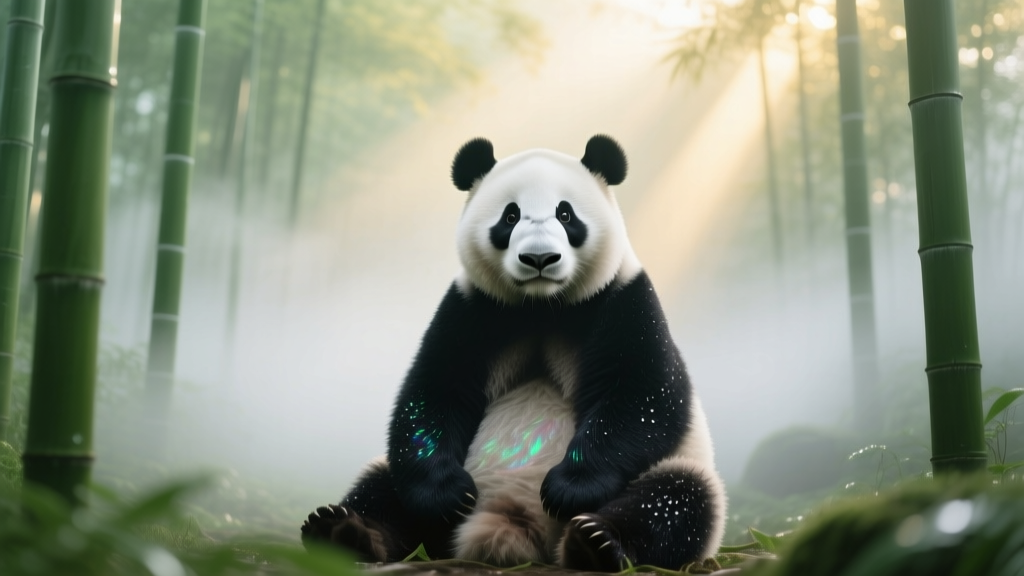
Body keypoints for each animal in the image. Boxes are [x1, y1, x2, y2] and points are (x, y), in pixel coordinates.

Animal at [301, 135, 726, 571]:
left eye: (565, 214)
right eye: (510, 216)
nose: (539, 258)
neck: (542, 306)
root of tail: (515, 529)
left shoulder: (623, 300)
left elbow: (640, 397)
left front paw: (569, 489)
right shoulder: (473, 309)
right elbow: (433, 394)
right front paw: (448, 495)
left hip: (681, 472)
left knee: (677, 499)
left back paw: (596, 542)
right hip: (413, 505)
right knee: (382, 488)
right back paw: (342, 530)